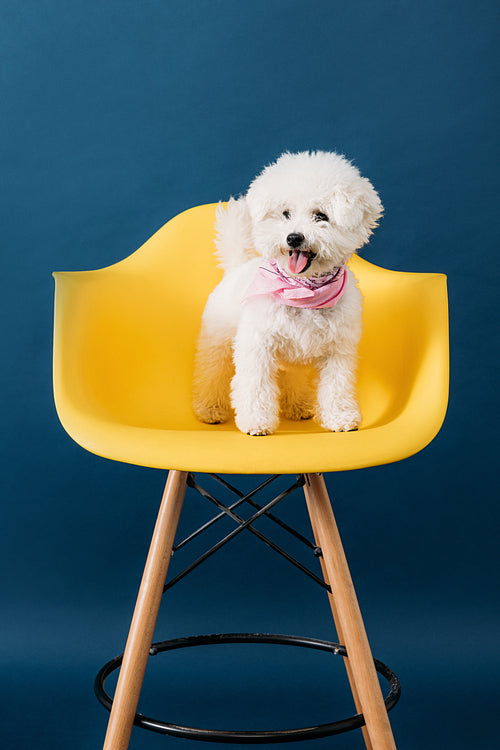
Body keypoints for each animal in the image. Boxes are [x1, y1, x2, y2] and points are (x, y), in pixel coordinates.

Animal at [191, 151, 382, 438]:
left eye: (321, 216)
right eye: (285, 214)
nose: (293, 237)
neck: (301, 289)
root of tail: (235, 267)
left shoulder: (338, 349)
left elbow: (336, 385)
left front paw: (340, 417)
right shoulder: (257, 345)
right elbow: (255, 385)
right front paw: (256, 421)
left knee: (292, 376)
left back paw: (298, 406)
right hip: (217, 341)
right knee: (212, 372)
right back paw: (209, 409)